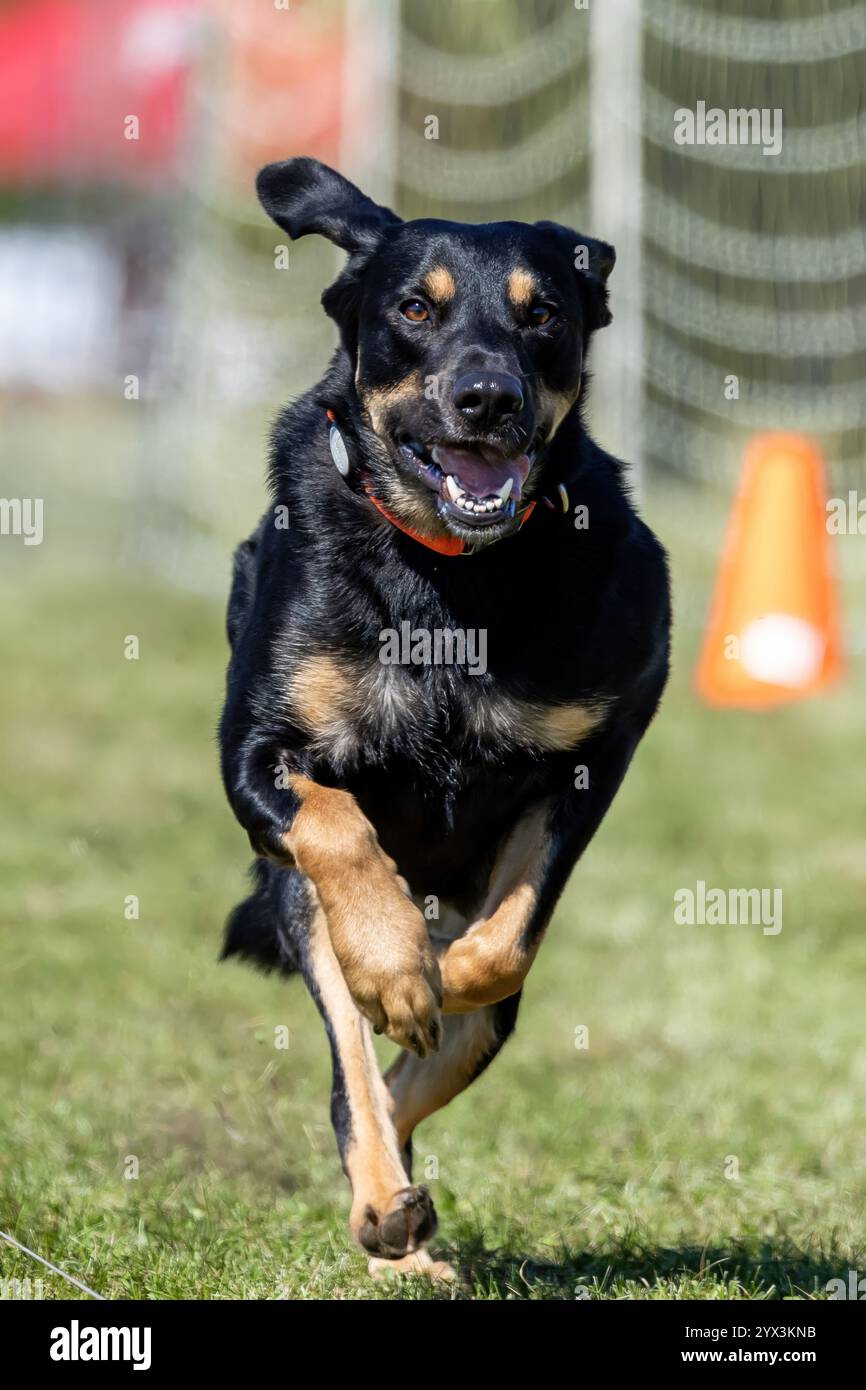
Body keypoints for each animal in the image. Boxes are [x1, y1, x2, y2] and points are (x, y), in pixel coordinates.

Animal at [222, 157, 670, 1273]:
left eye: (543, 311)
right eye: (414, 309)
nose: (486, 396)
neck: (447, 574)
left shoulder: (591, 757)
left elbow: (509, 941)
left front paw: (447, 971)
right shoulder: (256, 754)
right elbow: (338, 826)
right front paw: (397, 966)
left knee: (435, 1060)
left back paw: (406, 1216)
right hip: (297, 905)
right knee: (350, 1066)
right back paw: (385, 1193)